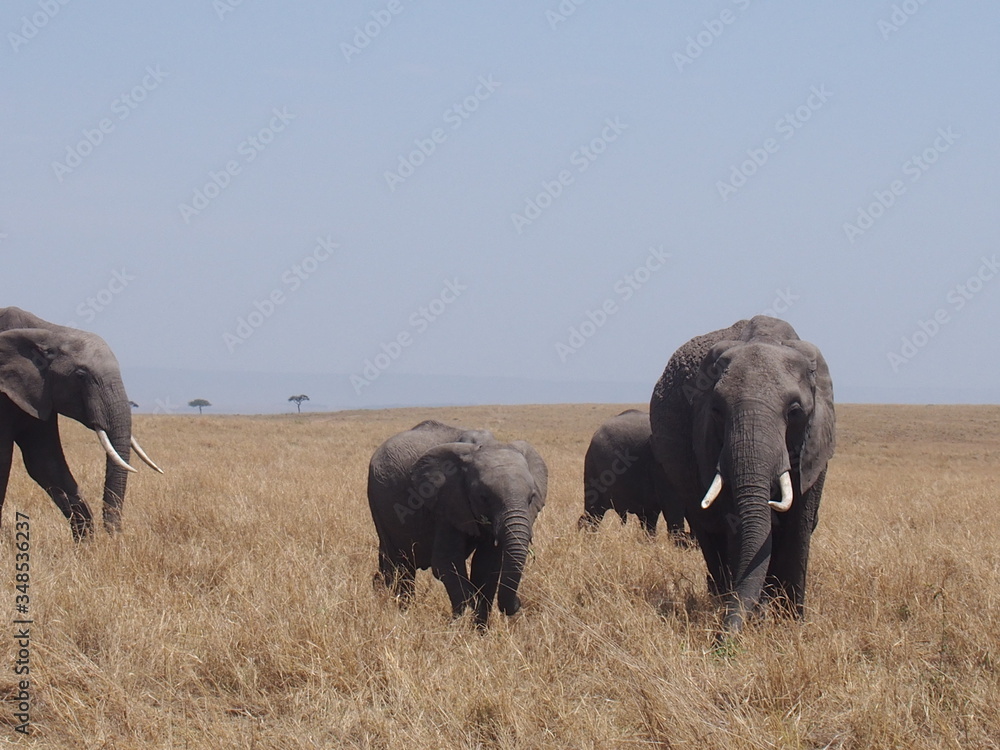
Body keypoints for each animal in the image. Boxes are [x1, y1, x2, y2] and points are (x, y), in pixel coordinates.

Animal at [0, 307, 162, 539]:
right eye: (80, 375)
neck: (47, 332)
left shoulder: (40, 394)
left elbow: (44, 462)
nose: (115, 538)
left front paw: (87, 546)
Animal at [368, 420, 547, 626]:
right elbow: (447, 562)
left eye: (531, 498)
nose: (519, 603)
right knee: (400, 565)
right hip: (378, 502)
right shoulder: (446, 501)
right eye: (484, 497)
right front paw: (458, 626)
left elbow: (486, 567)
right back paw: (403, 613)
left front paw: (479, 629)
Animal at [649, 316, 835, 634]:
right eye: (717, 410)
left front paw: (793, 624)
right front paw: (757, 619)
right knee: (709, 533)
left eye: (795, 411)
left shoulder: (816, 440)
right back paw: (723, 599)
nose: (721, 638)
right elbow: (734, 521)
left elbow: (799, 523)